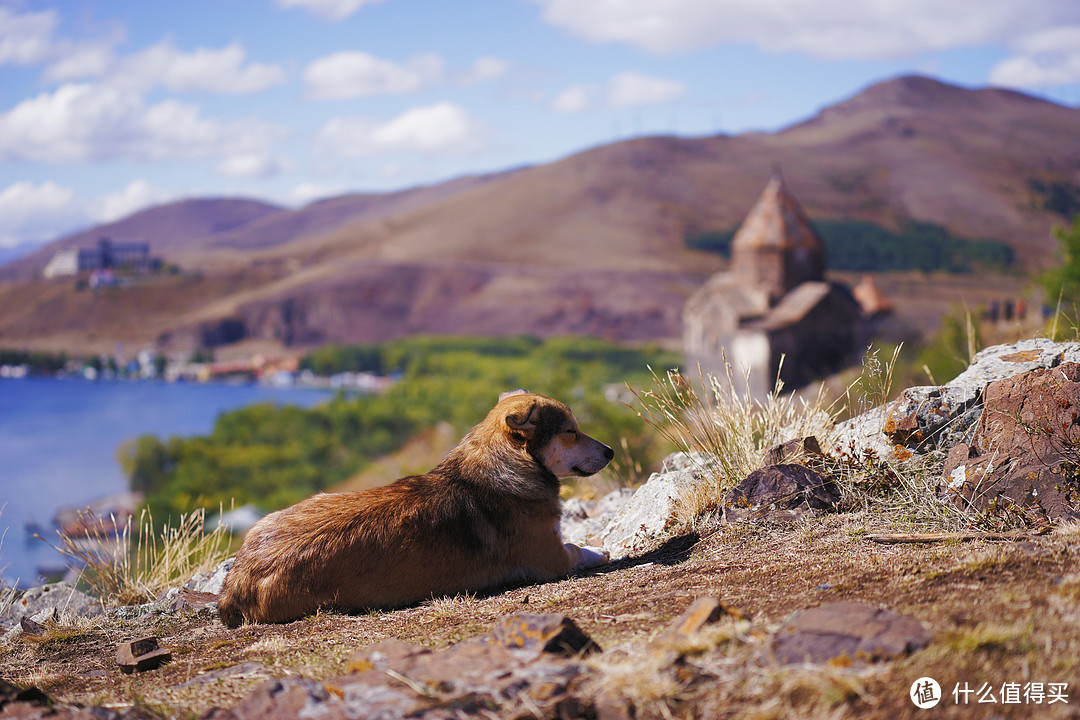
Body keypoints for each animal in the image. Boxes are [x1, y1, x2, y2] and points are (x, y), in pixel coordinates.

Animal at [214, 386, 613, 626]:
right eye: (571, 432)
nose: (610, 451)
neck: (504, 465)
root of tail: (236, 585)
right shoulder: (552, 559)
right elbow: (579, 548)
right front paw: (601, 549)